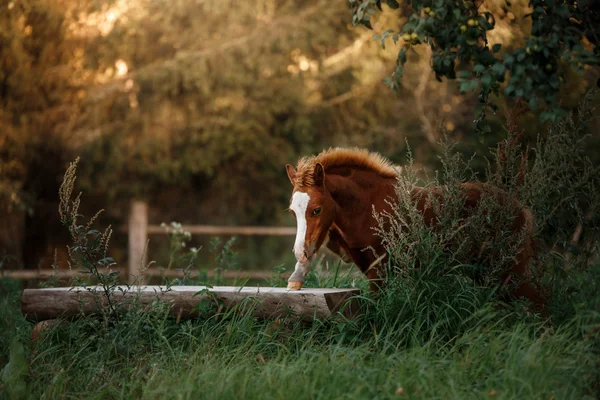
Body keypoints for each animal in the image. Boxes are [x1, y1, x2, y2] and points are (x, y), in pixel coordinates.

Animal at [286, 148, 544, 310]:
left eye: (316, 210)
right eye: (292, 211)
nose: (299, 252)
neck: (367, 206)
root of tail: (521, 208)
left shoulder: (379, 271)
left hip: (512, 268)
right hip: (487, 271)